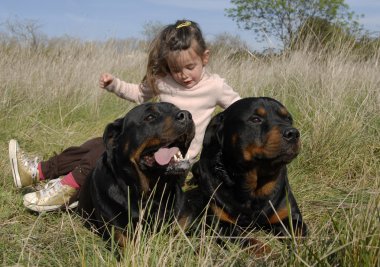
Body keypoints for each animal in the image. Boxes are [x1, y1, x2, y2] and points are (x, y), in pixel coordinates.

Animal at [180, 98, 308, 251]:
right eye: (255, 119)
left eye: (288, 119)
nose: (293, 133)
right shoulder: (220, 223)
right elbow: (252, 242)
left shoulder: (291, 217)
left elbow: (299, 237)